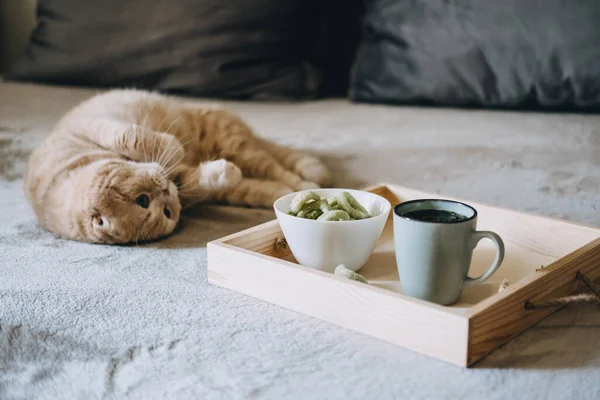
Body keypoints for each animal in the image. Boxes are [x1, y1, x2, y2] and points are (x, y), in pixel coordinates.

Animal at [23, 89, 330, 244]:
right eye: (167, 212)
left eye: (142, 200)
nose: (167, 191)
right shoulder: (186, 181)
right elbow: (199, 178)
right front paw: (220, 171)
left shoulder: (100, 127)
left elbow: (136, 138)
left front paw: (173, 147)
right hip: (240, 184)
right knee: (268, 184)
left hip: (233, 141)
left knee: (275, 164)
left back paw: (308, 180)